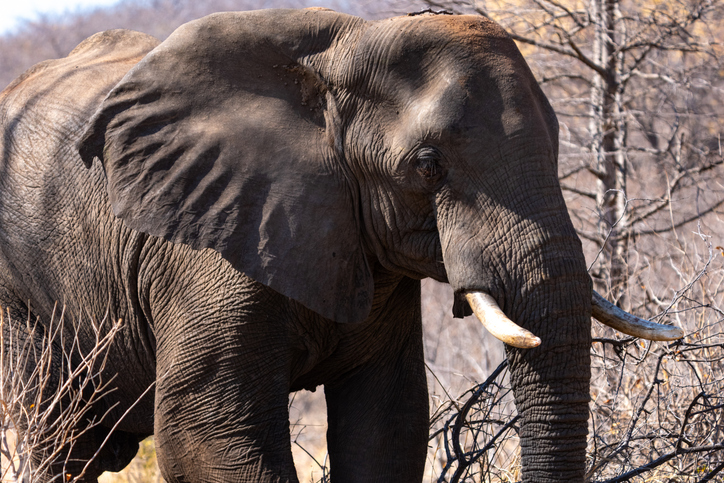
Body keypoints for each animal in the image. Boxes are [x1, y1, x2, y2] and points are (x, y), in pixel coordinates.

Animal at [0, 8, 681, 483]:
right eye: (427, 166)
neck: (343, 51)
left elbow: (388, 423)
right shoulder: (207, 244)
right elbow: (209, 431)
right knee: (50, 439)